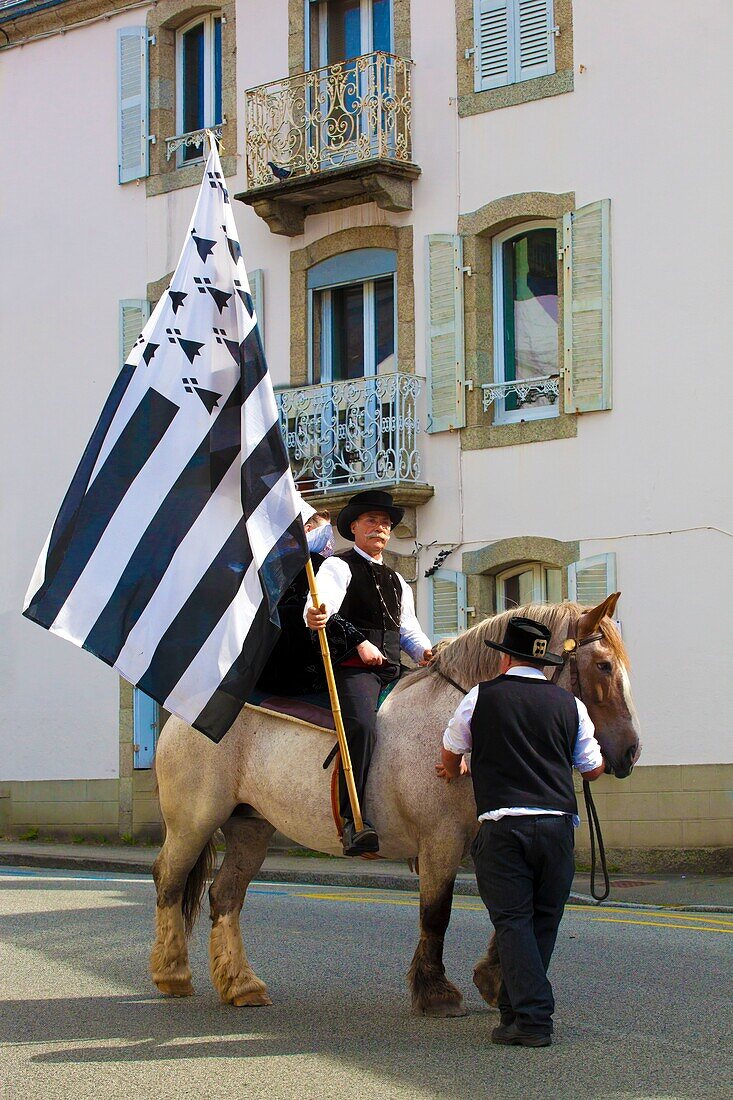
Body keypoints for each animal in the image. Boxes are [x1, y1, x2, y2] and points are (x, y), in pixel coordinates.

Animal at [149, 594, 638, 1012]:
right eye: (603, 665)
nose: (631, 752)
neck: (455, 718)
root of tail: (185, 716)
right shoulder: (441, 841)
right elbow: (436, 913)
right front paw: (436, 992)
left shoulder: (487, 835)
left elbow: (509, 903)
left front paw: (493, 981)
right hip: (193, 823)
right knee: (169, 882)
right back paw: (172, 974)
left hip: (249, 827)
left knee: (225, 896)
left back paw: (241, 985)